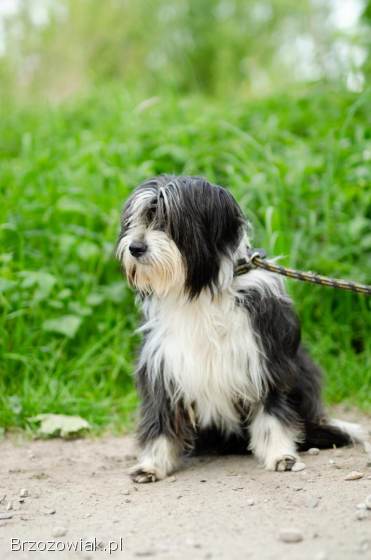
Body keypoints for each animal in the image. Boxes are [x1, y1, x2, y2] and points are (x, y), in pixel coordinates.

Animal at [117, 175, 370, 482]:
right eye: (135, 220)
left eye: (167, 221)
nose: (135, 248)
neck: (201, 294)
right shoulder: (163, 363)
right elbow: (160, 418)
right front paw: (152, 464)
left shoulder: (264, 358)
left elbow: (272, 412)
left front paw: (280, 455)